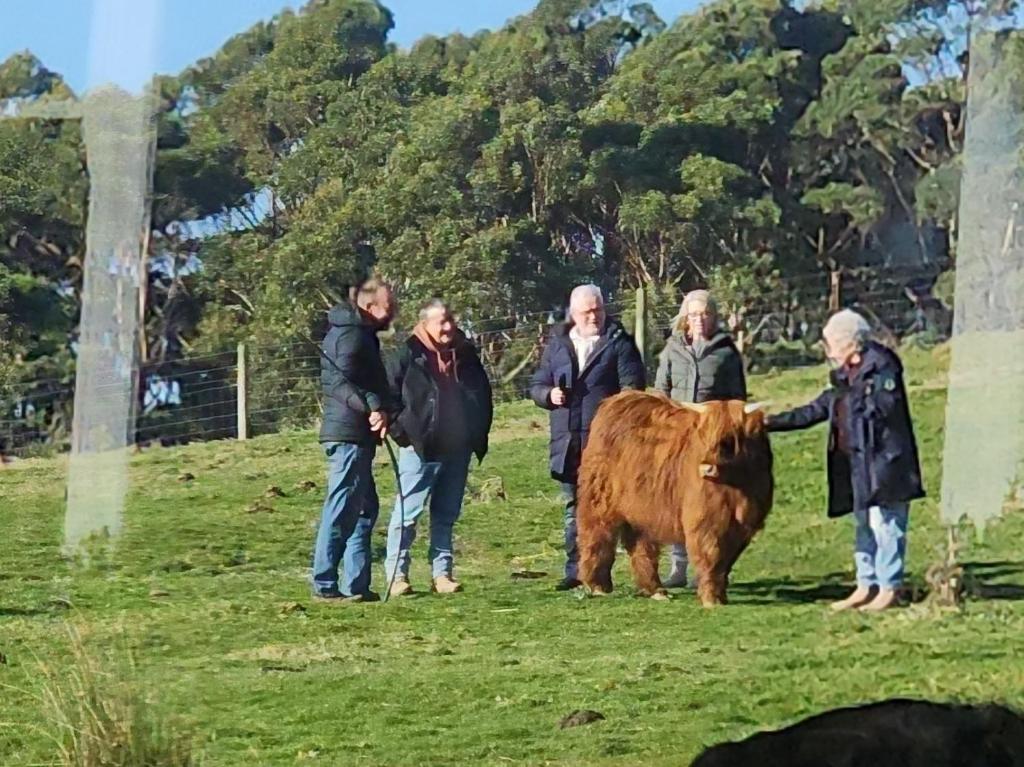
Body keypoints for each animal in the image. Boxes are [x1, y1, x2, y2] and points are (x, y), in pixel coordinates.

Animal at [581, 391, 770, 606]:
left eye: (729, 440)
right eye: (703, 438)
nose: (706, 469)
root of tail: (617, 399)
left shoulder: (744, 525)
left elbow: (726, 560)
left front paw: (720, 595)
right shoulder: (705, 519)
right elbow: (711, 554)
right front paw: (710, 599)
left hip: (643, 510)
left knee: (640, 546)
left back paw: (655, 590)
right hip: (599, 499)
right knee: (596, 535)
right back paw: (597, 586)